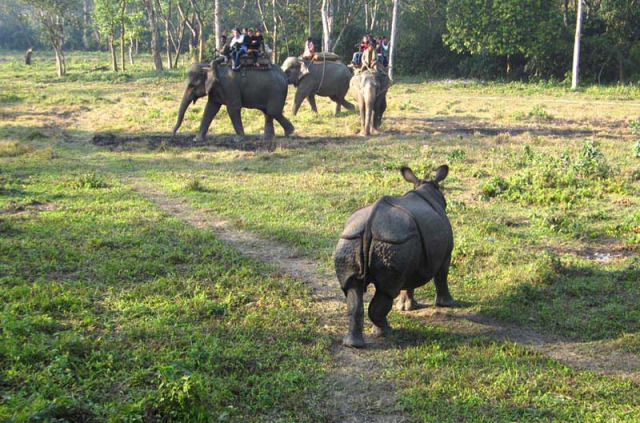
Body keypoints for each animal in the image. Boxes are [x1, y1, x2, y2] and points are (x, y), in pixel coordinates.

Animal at [336, 166, 456, 348]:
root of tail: (370, 224)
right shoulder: (445, 253)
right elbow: (442, 276)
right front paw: (447, 304)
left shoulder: (411, 253)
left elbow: (409, 282)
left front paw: (405, 307)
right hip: (393, 241)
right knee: (385, 291)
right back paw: (386, 332)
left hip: (351, 240)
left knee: (352, 287)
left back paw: (353, 344)